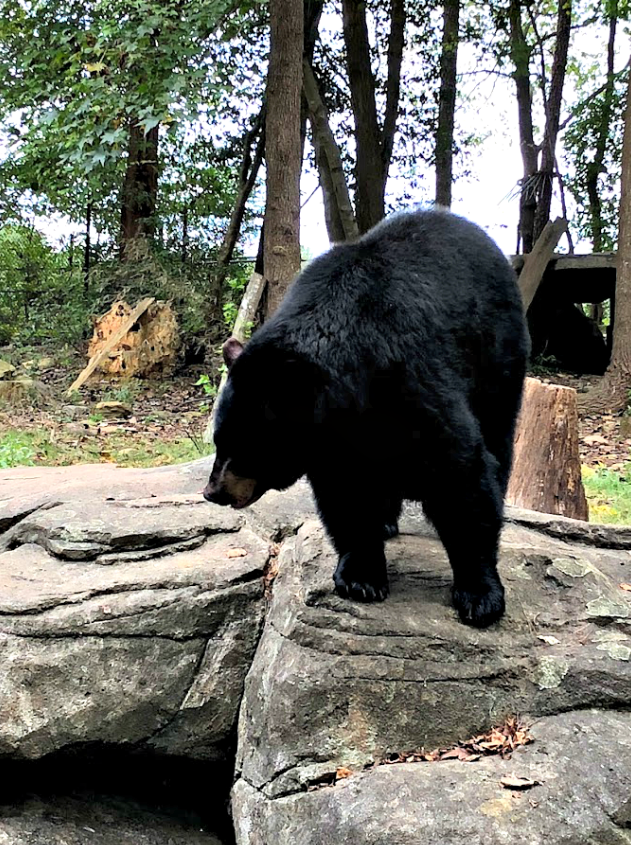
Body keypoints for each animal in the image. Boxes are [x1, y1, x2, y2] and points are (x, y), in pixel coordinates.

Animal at [205, 208, 532, 624]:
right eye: (218, 440)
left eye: (245, 446)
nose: (213, 492)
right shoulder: (332, 440)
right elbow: (346, 495)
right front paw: (361, 577)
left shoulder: (410, 375)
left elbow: (460, 472)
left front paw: (480, 595)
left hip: (498, 355)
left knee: (497, 433)